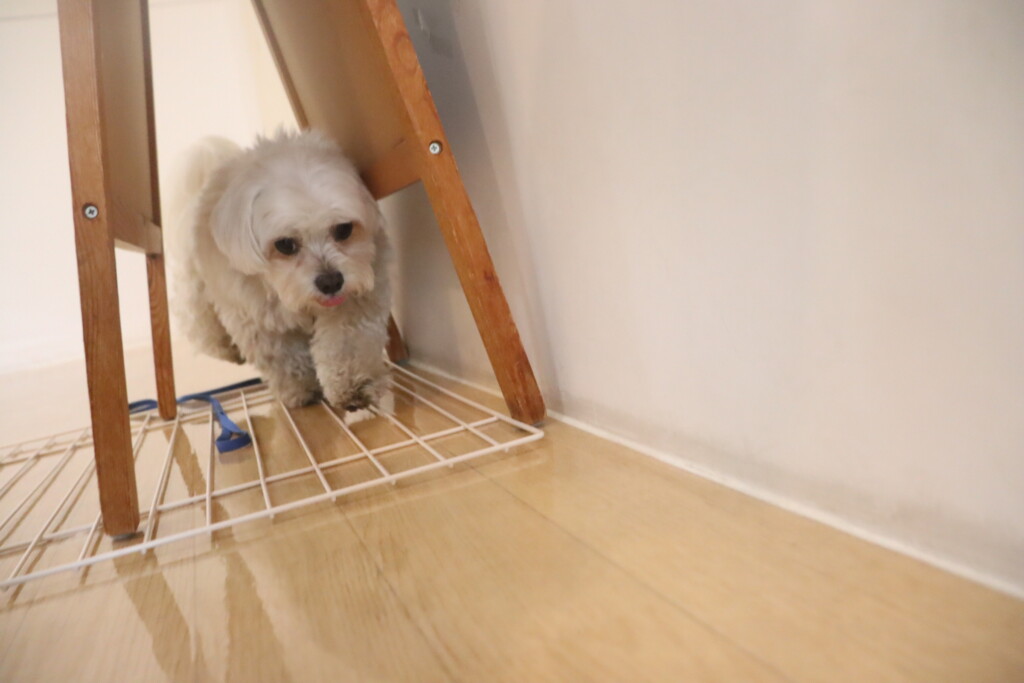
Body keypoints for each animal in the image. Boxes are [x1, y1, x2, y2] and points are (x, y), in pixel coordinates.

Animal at [170, 130, 391, 411]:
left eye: (343, 229)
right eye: (285, 244)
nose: (330, 282)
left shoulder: (355, 300)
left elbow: (346, 343)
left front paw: (355, 387)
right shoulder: (257, 319)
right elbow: (284, 358)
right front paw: (301, 389)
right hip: (198, 295)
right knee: (204, 327)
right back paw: (227, 349)